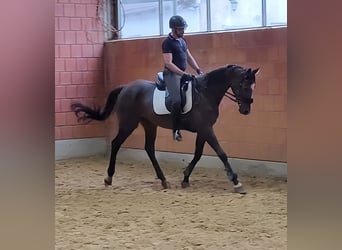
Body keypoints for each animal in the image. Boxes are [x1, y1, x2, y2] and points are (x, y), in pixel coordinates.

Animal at [71, 64, 260, 193]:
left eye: (254, 87)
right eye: (244, 86)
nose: (246, 110)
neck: (205, 93)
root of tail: (125, 88)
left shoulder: (203, 130)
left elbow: (198, 154)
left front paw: (185, 178)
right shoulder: (206, 129)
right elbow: (221, 153)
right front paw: (236, 182)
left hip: (149, 124)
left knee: (149, 148)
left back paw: (163, 180)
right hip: (128, 123)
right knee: (116, 144)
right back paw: (109, 177)